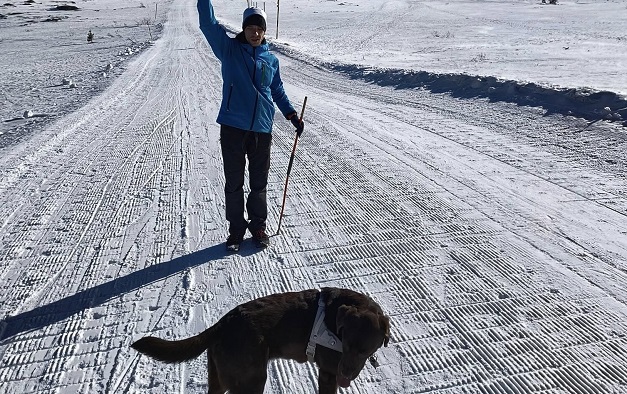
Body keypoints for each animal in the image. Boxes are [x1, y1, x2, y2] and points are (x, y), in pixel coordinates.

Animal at [131, 286, 390, 394]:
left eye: (364, 350)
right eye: (345, 344)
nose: (345, 373)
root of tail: (223, 323)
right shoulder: (327, 374)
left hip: (220, 378)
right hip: (251, 380)